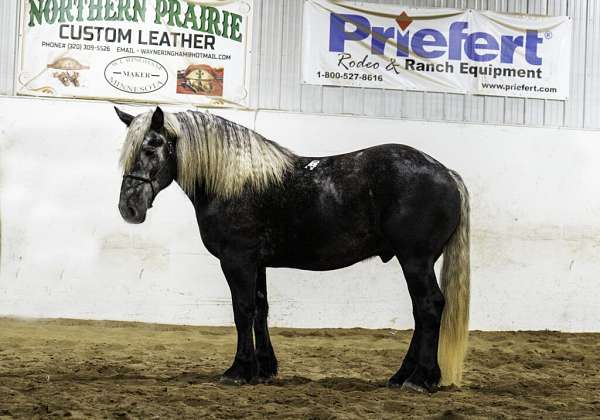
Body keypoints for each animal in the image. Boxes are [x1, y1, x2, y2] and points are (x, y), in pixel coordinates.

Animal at [113, 106, 468, 394]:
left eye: (152, 146)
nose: (128, 208)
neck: (235, 182)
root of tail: (446, 173)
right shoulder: (257, 264)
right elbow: (260, 309)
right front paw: (264, 369)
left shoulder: (237, 261)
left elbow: (242, 311)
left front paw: (238, 371)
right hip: (417, 262)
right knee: (421, 312)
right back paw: (402, 376)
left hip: (415, 260)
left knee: (430, 307)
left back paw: (420, 379)